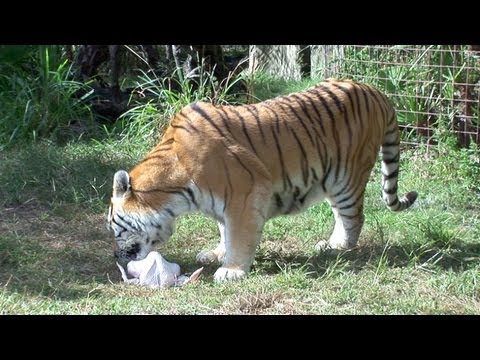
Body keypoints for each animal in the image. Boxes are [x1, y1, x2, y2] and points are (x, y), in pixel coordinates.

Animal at [108, 78, 416, 282]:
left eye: (115, 227)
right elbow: (225, 231)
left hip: (347, 179)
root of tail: (374, 90)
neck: (175, 194)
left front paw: (231, 270)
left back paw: (339, 246)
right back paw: (330, 245)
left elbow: (239, 235)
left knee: (354, 216)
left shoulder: (245, 194)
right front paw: (216, 255)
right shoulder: (223, 204)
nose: (115, 256)